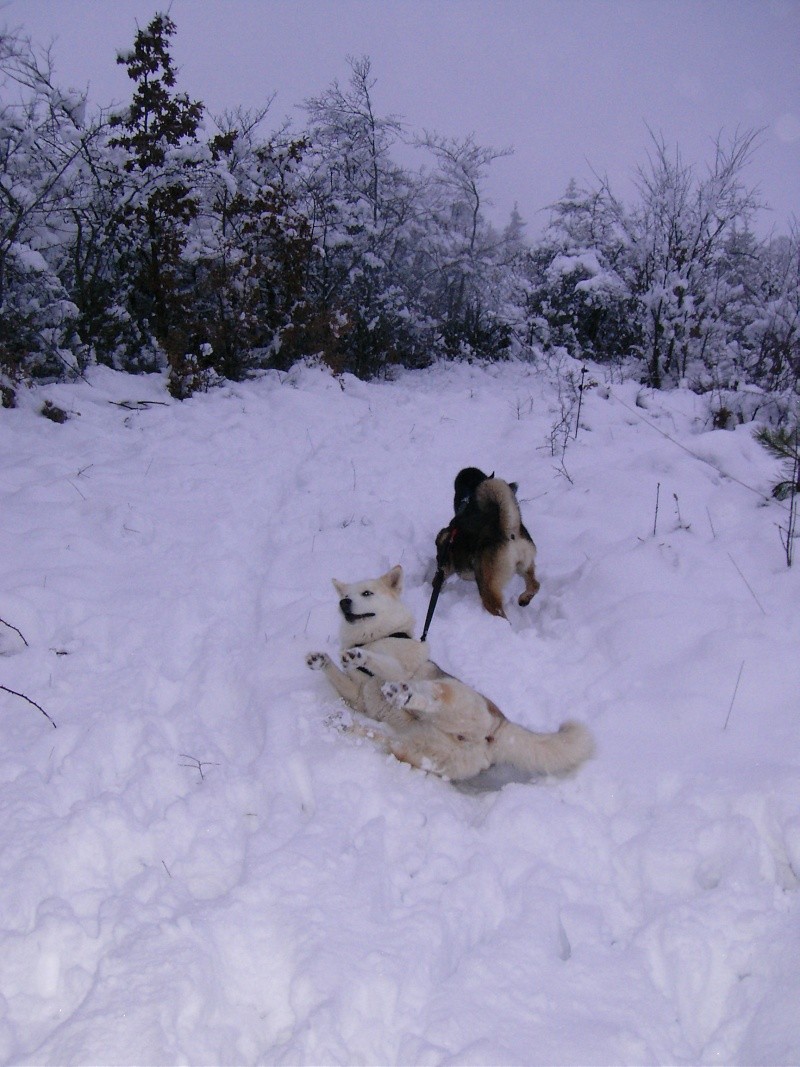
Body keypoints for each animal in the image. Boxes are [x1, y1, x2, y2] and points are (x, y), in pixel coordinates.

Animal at [307, 563, 597, 781]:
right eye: (344, 596)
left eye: (366, 593)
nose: (344, 602)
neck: (376, 637)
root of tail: (500, 727)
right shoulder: (359, 696)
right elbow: (341, 679)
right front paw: (321, 660)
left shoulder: (399, 667)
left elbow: (382, 663)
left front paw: (359, 656)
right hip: (414, 746)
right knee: (386, 740)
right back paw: (347, 723)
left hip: (454, 694)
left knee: (432, 699)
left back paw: (404, 696)